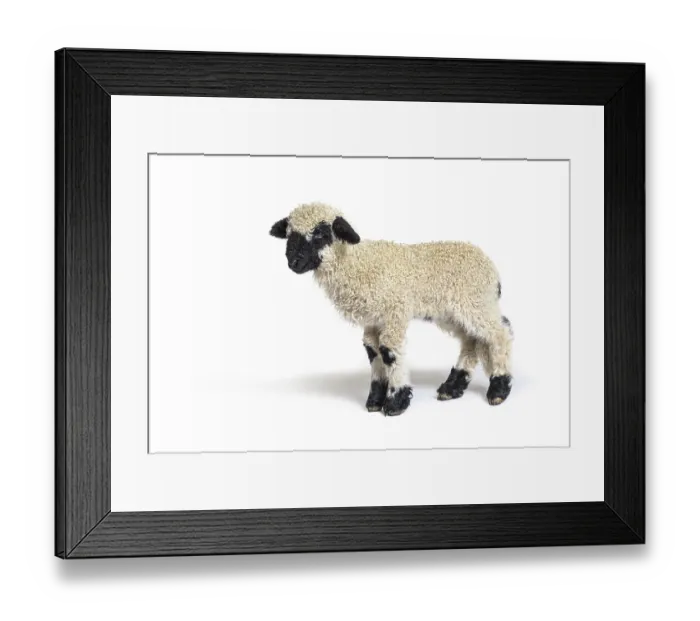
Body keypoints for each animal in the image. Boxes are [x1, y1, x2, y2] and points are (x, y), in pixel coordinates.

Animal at [270, 202, 513, 417]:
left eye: (320, 234)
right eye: (290, 235)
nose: (294, 262)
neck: (356, 263)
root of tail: (492, 270)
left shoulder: (394, 313)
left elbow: (389, 352)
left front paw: (396, 402)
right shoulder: (373, 320)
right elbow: (373, 351)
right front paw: (375, 400)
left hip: (475, 301)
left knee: (500, 333)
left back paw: (498, 389)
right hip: (453, 311)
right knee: (471, 340)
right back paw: (452, 387)